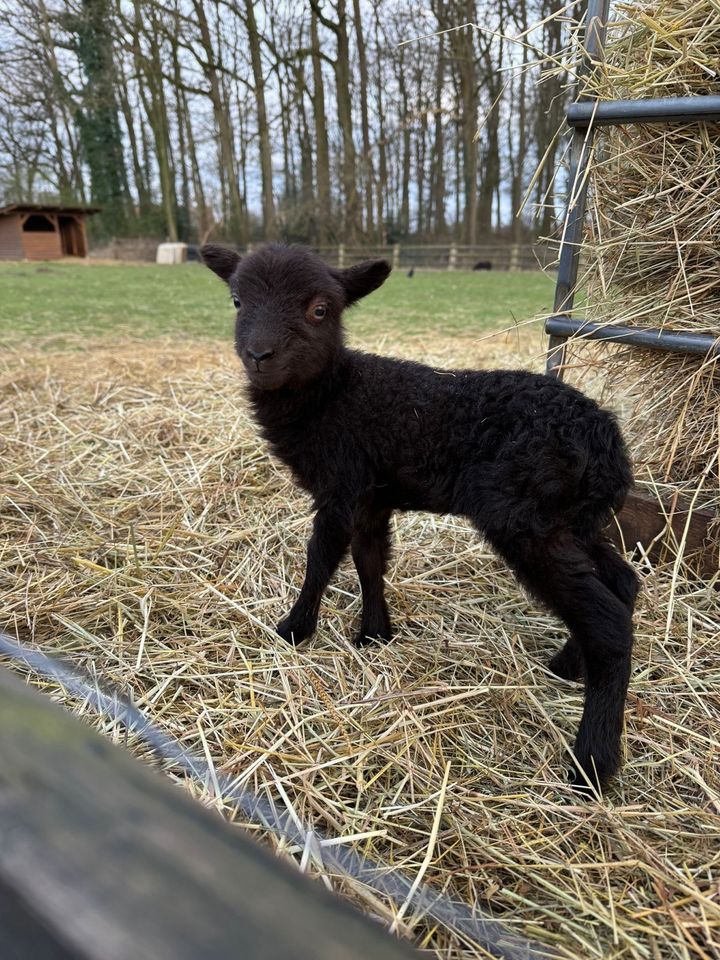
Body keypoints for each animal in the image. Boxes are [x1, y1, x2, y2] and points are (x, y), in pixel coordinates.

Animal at [201, 242, 636, 796]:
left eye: (320, 309)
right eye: (237, 301)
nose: (259, 356)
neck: (333, 396)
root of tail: (609, 450)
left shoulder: (342, 484)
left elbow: (321, 558)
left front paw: (295, 629)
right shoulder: (371, 496)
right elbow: (369, 561)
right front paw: (374, 635)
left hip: (526, 519)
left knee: (608, 623)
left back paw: (591, 765)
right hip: (574, 521)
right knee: (623, 582)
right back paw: (565, 666)